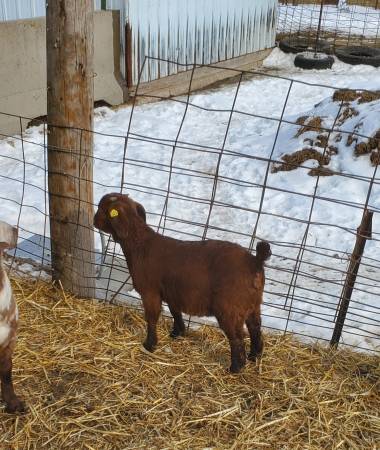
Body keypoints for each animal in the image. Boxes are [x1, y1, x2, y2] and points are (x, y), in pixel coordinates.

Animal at [94, 193, 270, 372]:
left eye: (102, 208)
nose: (94, 221)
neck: (139, 244)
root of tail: (255, 261)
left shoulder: (150, 292)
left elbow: (152, 318)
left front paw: (149, 345)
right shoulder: (173, 292)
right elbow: (175, 312)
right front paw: (177, 333)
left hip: (230, 308)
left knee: (237, 338)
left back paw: (235, 367)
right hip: (253, 304)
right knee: (255, 329)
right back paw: (254, 356)